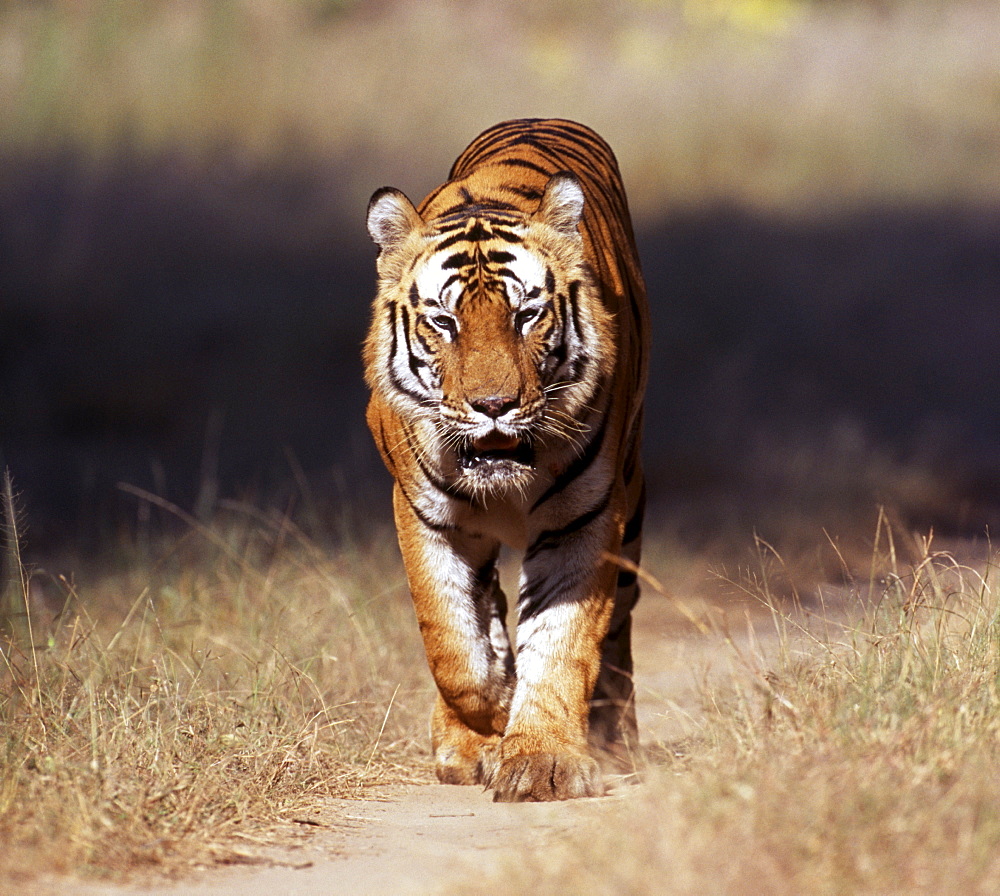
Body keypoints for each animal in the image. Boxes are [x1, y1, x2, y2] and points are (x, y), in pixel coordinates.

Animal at [364, 121, 652, 804]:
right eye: (444, 322)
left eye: (527, 315)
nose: (494, 406)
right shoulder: (424, 516)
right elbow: (452, 645)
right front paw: (490, 719)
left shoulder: (586, 520)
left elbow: (562, 644)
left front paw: (542, 760)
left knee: (618, 633)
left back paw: (614, 741)